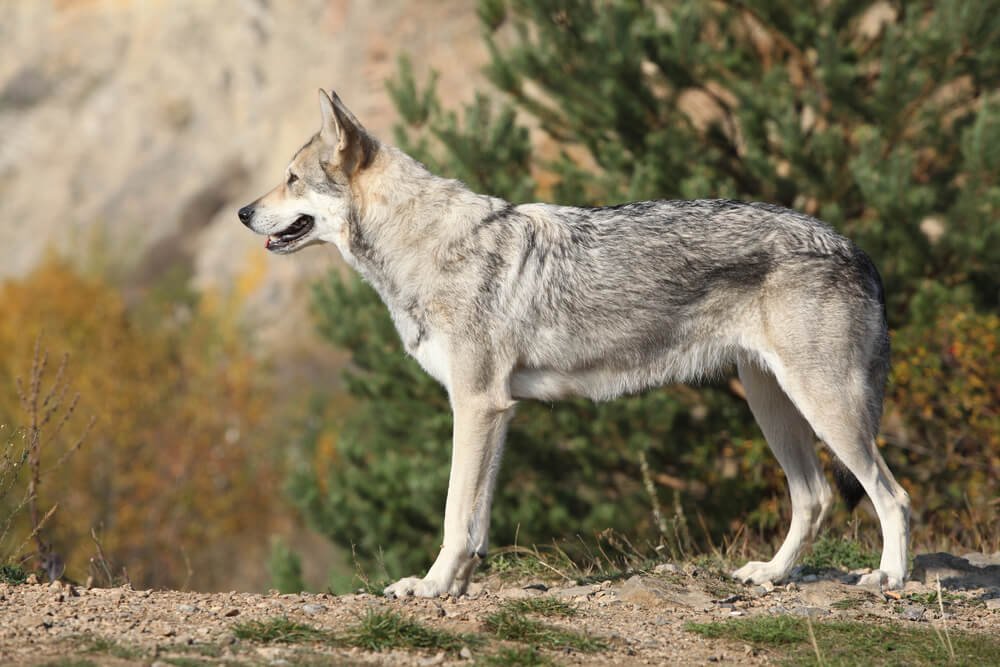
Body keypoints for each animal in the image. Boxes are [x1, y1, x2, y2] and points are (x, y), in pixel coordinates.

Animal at [238, 90, 911, 597]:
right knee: (816, 497)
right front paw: (456, 587)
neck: (424, 244)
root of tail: (858, 249)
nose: (244, 212)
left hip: (825, 408)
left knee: (893, 496)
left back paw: (889, 580)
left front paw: (429, 587)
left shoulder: (478, 405)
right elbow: (476, 520)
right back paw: (770, 575)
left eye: (291, 179)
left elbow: (456, 513)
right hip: (774, 406)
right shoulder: (494, 412)